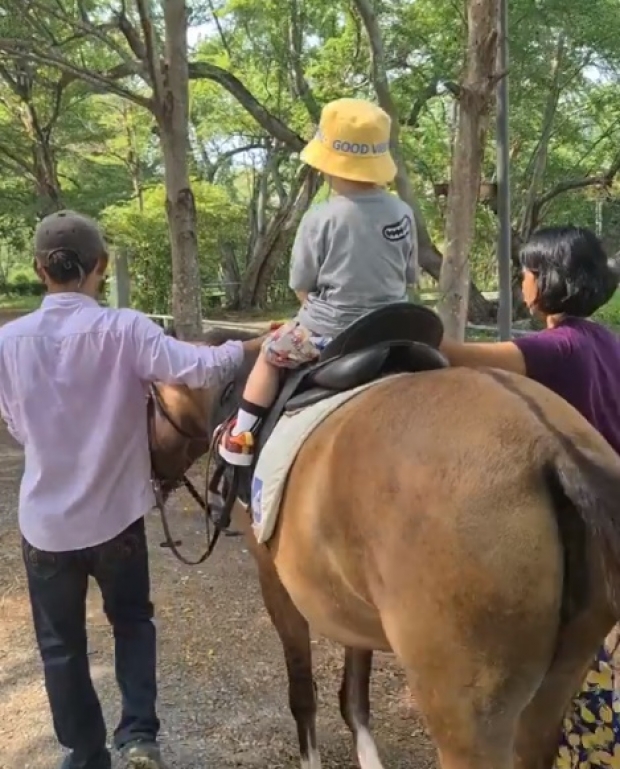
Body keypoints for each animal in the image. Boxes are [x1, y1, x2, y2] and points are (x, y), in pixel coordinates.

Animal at [149, 328, 620, 768]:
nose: (152, 481)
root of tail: (552, 447)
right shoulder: (350, 606)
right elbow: (355, 698)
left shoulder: (276, 583)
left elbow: (303, 693)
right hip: (550, 694)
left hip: (467, 720)